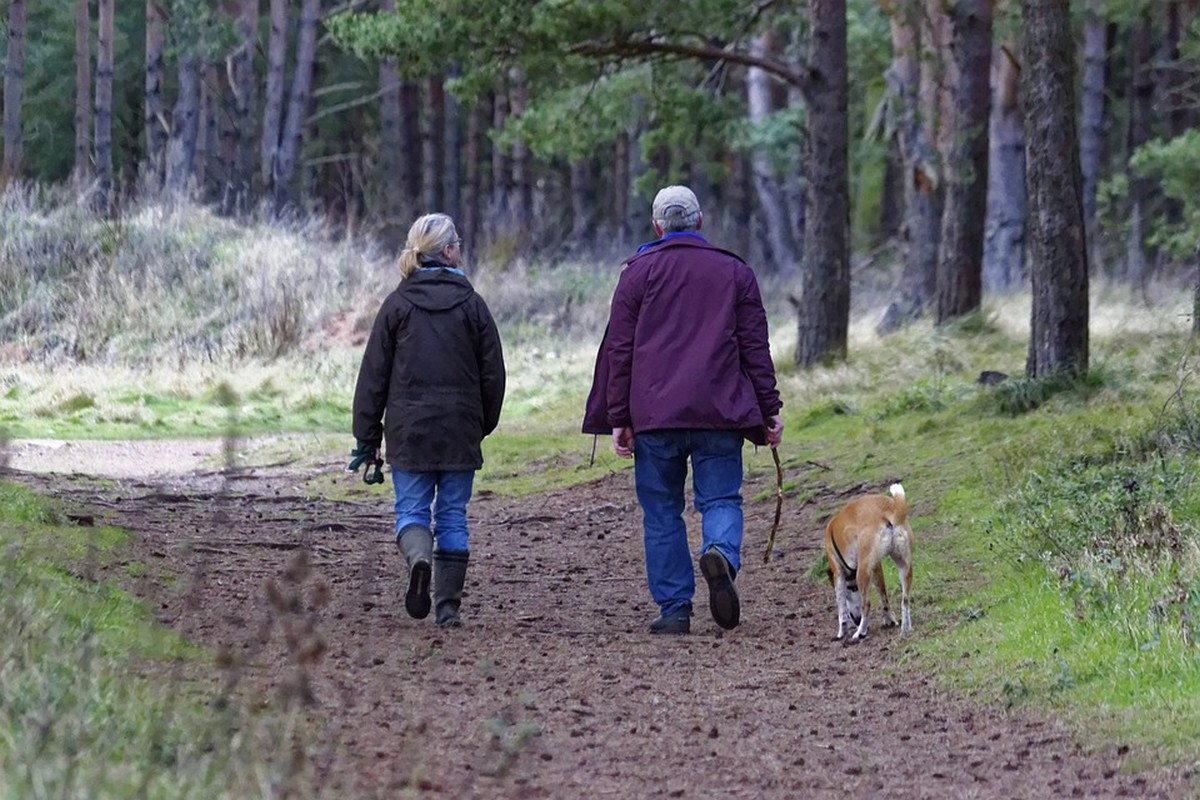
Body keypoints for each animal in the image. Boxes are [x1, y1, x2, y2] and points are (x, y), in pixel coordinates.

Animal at [820, 482, 912, 642]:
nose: (856, 620)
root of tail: (888, 510)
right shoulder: (876, 567)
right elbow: (884, 598)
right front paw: (890, 621)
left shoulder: (838, 574)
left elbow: (841, 609)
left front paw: (841, 632)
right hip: (904, 566)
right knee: (905, 600)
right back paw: (906, 629)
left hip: (862, 573)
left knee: (866, 605)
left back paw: (860, 633)